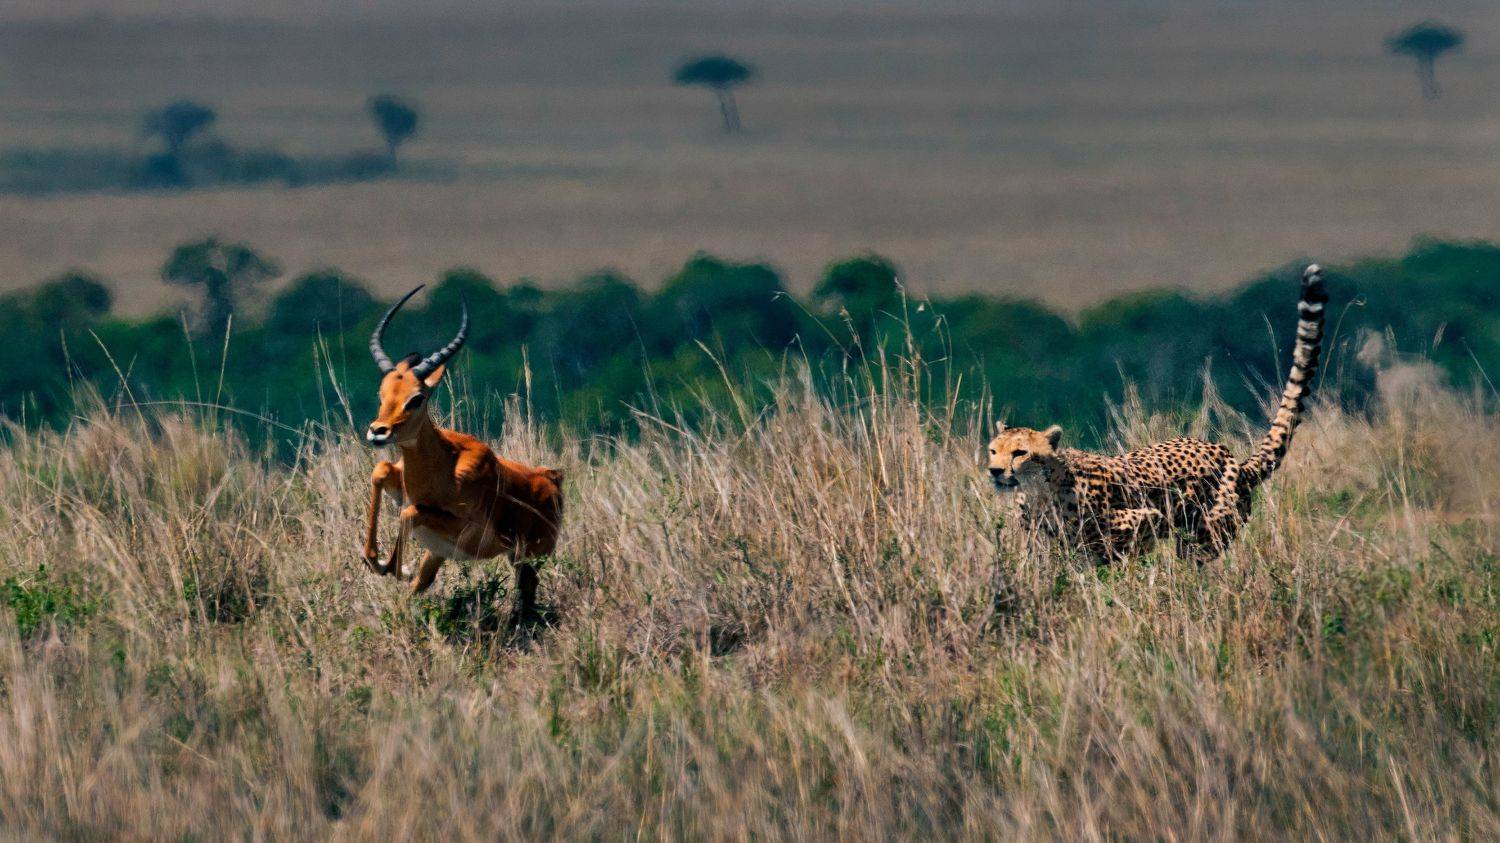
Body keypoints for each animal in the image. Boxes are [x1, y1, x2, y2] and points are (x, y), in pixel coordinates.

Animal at [360, 286, 564, 622]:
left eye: (417, 398)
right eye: (382, 394)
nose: (378, 431)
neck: (441, 472)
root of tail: (552, 480)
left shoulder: (465, 534)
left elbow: (409, 511)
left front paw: (396, 567)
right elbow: (381, 472)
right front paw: (378, 562)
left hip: (527, 560)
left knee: (526, 596)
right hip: (441, 555)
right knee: (422, 583)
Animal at [987, 264, 1327, 562]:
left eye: (1020, 452)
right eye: (993, 451)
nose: (995, 471)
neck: (1040, 489)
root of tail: (1233, 460)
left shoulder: (1144, 520)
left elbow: (1113, 554)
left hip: (1205, 536)